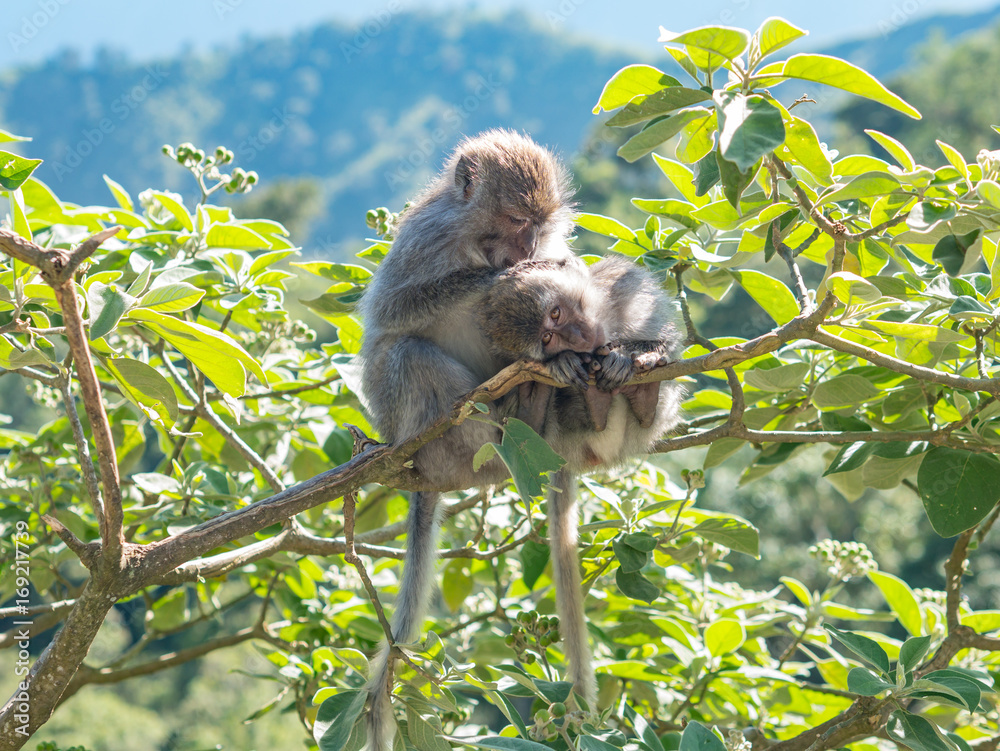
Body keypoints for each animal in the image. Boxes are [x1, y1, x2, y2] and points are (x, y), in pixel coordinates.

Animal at [357, 131, 580, 750]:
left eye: (538, 224)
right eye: (515, 220)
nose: (528, 246)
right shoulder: (422, 239)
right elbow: (391, 313)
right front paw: (494, 279)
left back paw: (530, 402)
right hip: (405, 421)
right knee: (404, 353)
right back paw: (492, 420)